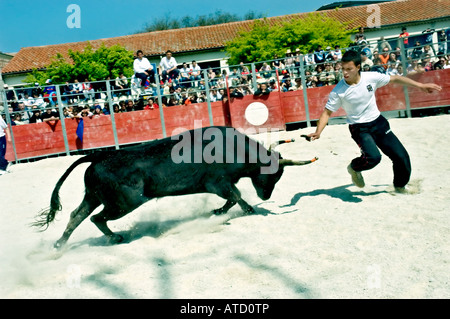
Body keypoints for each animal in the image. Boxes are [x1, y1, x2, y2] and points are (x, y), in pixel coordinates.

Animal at [32, 126, 316, 249]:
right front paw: (247, 211)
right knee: (95, 218)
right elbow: (236, 196)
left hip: (94, 196)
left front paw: (218, 212)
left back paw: (59, 245)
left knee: (77, 215)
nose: (266, 195)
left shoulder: (222, 185)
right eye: (273, 174)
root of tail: (100, 156)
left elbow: (232, 198)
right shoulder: (217, 183)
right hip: (124, 203)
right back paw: (114, 238)